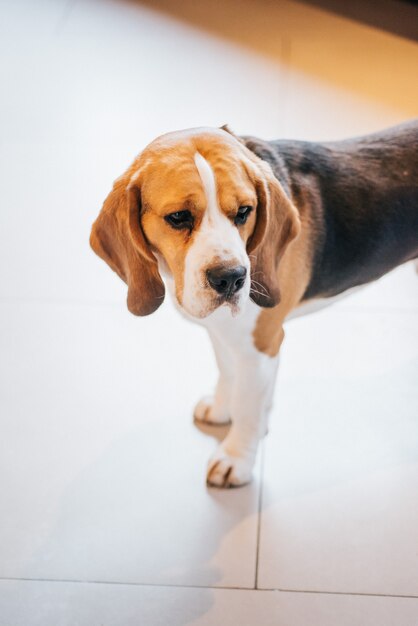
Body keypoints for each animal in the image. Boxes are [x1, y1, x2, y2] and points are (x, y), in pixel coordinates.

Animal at [90, 119, 418, 486]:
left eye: (244, 212)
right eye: (178, 217)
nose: (231, 278)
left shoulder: (261, 344)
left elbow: (248, 406)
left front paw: (237, 458)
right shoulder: (225, 331)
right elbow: (227, 371)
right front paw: (223, 407)